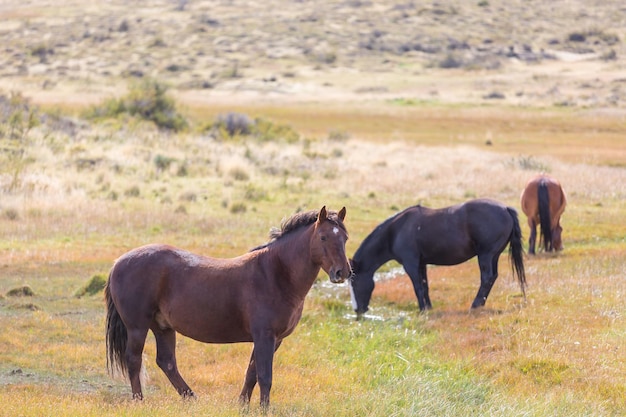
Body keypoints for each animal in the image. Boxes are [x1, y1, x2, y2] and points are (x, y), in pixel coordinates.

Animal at [106, 206, 352, 406]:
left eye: (345, 238)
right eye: (323, 237)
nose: (343, 272)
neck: (275, 273)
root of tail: (119, 262)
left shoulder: (274, 339)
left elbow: (252, 373)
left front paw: (243, 405)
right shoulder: (265, 336)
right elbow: (265, 376)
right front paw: (264, 410)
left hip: (163, 327)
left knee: (166, 362)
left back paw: (192, 398)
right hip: (138, 327)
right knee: (134, 360)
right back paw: (139, 401)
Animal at [348, 200, 524, 314]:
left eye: (354, 282)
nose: (358, 310)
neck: (396, 231)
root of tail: (505, 208)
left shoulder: (410, 264)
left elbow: (417, 286)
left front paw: (422, 310)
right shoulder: (421, 264)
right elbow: (425, 285)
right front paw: (429, 307)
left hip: (486, 255)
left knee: (487, 278)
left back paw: (474, 306)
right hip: (494, 256)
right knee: (492, 277)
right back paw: (480, 305)